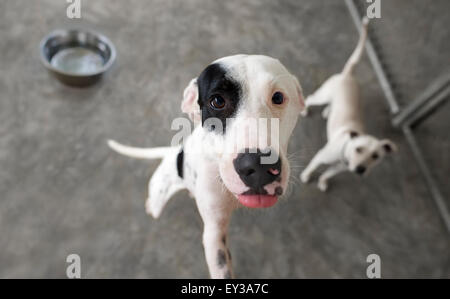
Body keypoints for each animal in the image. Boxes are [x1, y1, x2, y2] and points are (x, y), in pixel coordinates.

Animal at [300, 18, 396, 192]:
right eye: (358, 149)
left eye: (375, 156)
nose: (360, 169)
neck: (345, 153)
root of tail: (348, 75)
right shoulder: (320, 156)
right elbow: (312, 167)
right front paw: (306, 176)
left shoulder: (338, 169)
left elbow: (327, 174)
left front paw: (322, 182)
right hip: (322, 95)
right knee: (310, 98)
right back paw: (305, 110)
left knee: (330, 106)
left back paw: (327, 112)